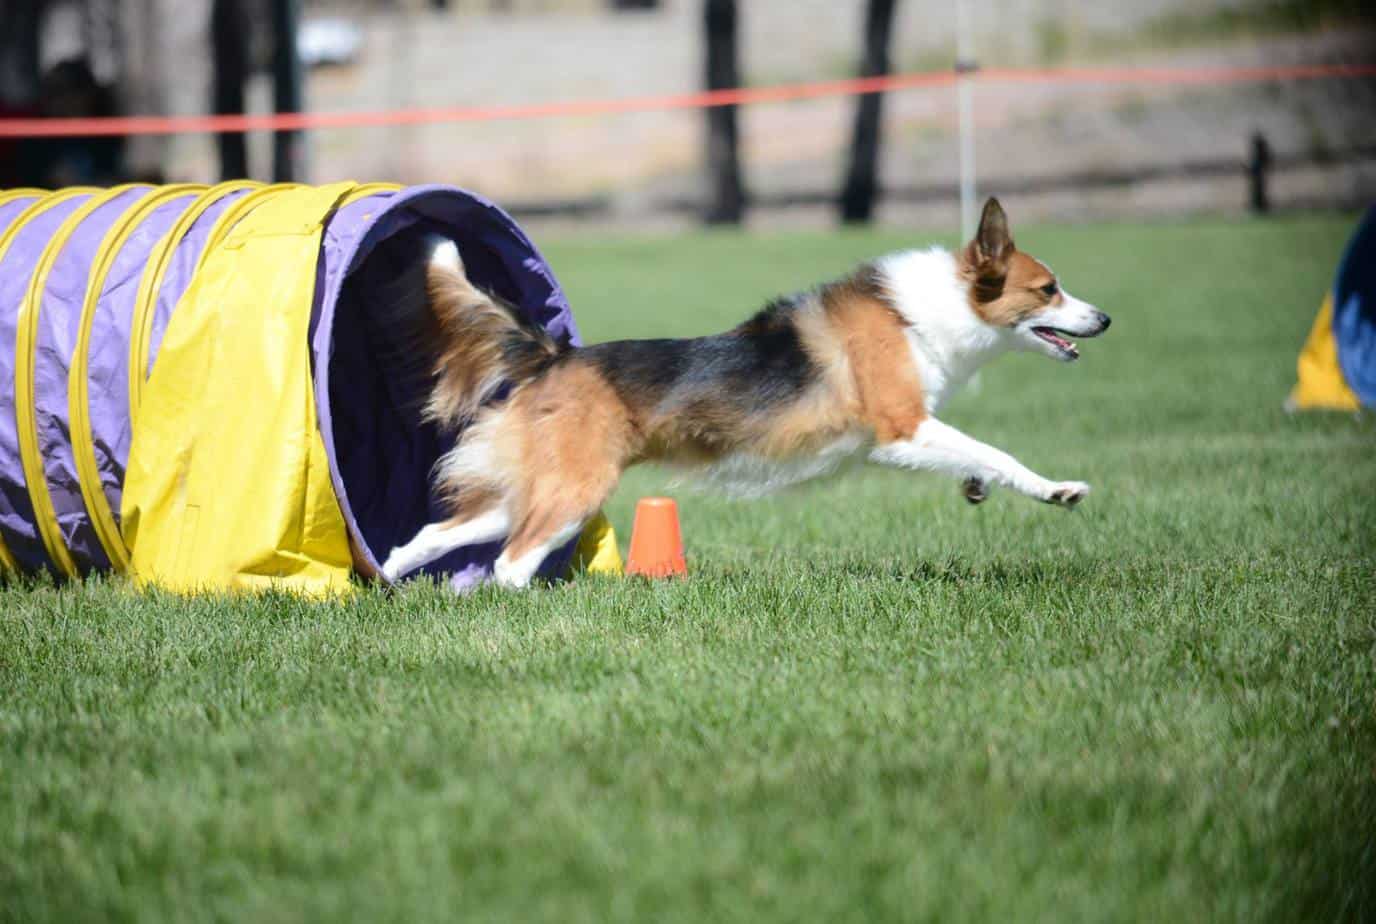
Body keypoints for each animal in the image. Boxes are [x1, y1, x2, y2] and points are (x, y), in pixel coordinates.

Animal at [385, 195, 1106, 588]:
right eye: (1048, 290)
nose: (1103, 319)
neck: (931, 310)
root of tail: (556, 356)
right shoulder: (901, 427)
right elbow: (996, 452)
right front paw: (1058, 491)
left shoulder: (896, 440)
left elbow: (977, 458)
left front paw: (978, 488)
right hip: (573, 489)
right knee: (509, 565)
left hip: (529, 487)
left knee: (424, 537)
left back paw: (387, 584)